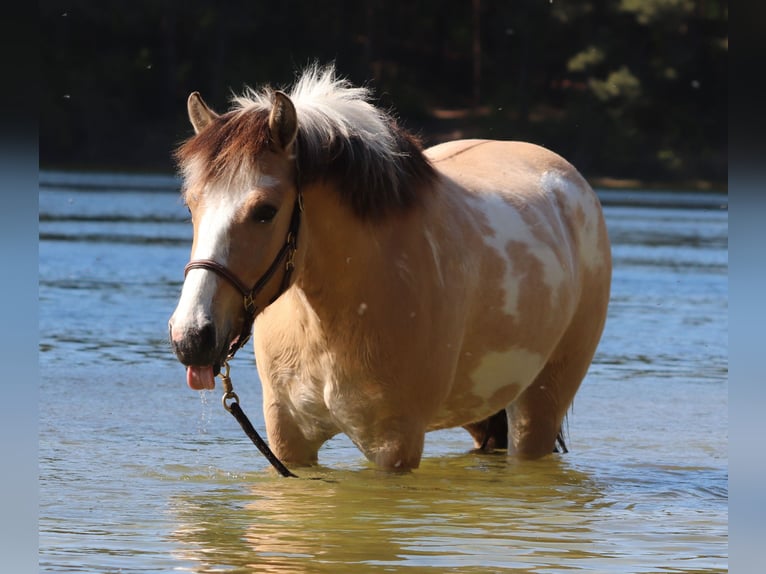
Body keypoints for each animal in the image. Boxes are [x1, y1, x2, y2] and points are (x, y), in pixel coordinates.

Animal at [168, 64, 612, 471]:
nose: (191, 337)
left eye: (265, 211)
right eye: (190, 206)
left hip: (539, 405)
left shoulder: (393, 444)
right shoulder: (288, 438)